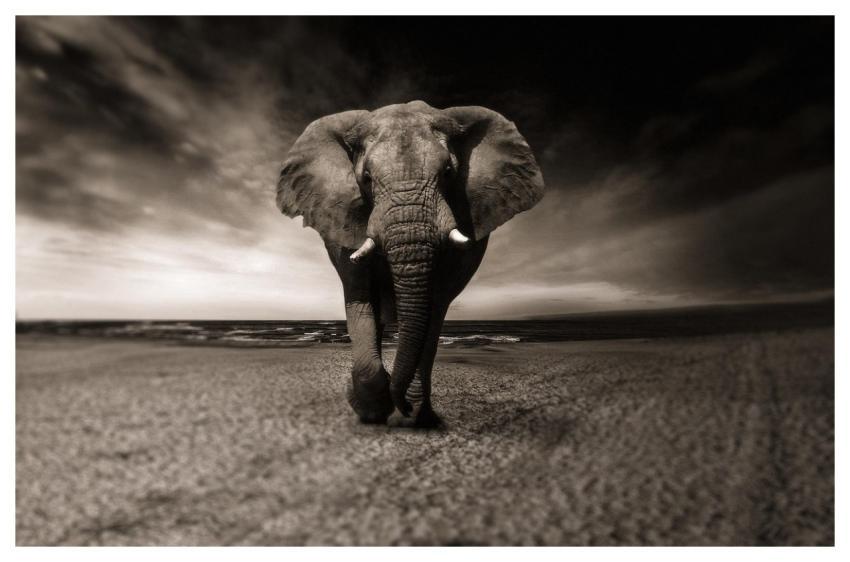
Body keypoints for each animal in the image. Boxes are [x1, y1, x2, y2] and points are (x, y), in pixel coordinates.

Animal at [276, 100, 544, 427]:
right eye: (366, 178)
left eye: (448, 172)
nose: (400, 404)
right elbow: (360, 296)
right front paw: (372, 409)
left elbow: (434, 305)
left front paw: (410, 412)